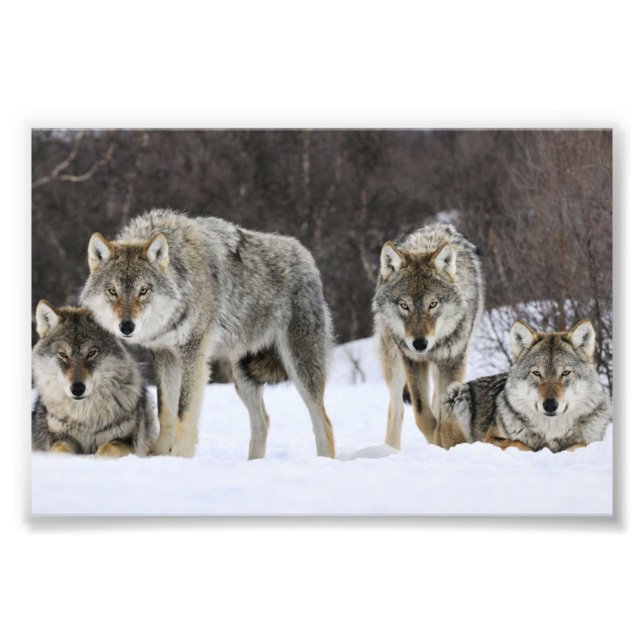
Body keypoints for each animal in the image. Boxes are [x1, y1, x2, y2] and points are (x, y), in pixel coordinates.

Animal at [32, 301, 155, 456]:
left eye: (91, 353)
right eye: (63, 354)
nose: (77, 389)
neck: (85, 418)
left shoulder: (127, 441)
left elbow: (108, 448)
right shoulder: (60, 437)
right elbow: (60, 449)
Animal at [80, 209, 335, 459]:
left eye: (143, 290)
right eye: (112, 291)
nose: (126, 327)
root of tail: (306, 256)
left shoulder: (193, 354)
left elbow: (183, 412)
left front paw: (180, 457)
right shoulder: (164, 355)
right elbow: (166, 411)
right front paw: (159, 455)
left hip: (299, 367)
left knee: (324, 422)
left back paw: (323, 461)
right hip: (242, 376)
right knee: (263, 421)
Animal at [373, 222, 484, 449]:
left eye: (433, 304)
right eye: (404, 305)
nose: (420, 344)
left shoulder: (452, 360)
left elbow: (444, 414)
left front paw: (445, 442)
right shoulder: (412, 360)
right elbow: (422, 413)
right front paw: (435, 438)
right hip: (394, 364)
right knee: (396, 409)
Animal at [441, 320, 611, 452]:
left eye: (565, 373)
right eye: (536, 373)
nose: (550, 405)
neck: (550, 431)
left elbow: (580, 444)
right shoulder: (490, 439)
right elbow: (519, 443)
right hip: (456, 394)